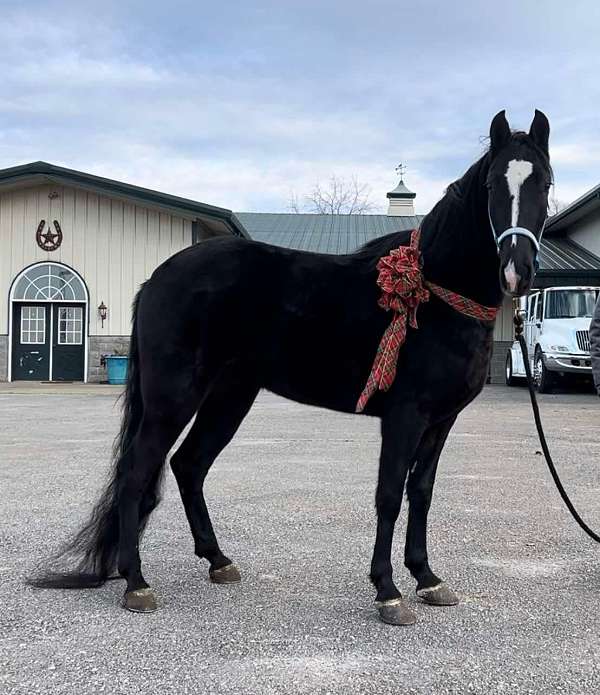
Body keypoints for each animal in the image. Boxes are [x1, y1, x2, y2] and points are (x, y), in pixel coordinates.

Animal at [30, 110, 552, 624]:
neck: (434, 292)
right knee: (138, 472)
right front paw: (387, 591)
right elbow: (388, 494)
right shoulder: (404, 417)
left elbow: (420, 493)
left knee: (188, 465)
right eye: (493, 185)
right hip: (172, 400)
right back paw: (136, 582)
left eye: (545, 183)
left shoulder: (440, 421)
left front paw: (426, 578)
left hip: (229, 398)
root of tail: (157, 277)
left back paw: (218, 560)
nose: (517, 272)